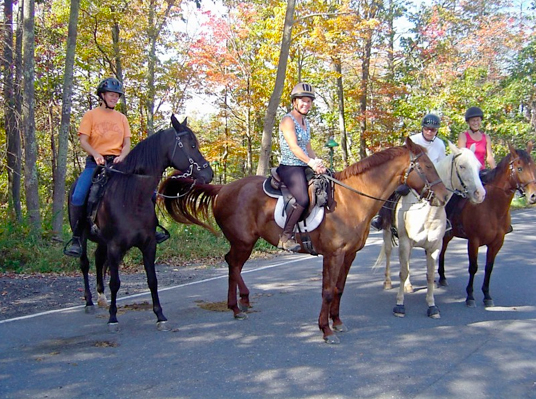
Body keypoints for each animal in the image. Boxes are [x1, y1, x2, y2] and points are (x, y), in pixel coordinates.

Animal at [69, 115, 214, 332]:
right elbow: (115, 283)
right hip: (85, 235)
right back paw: (89, 302)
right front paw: (113, 318)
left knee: (98, 260)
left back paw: (101, 298)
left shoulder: (148, 244)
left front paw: (160, 316)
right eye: (192, 145)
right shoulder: (115, 246)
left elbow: (152, 280)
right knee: (85, 263)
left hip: (102, 242)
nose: (209, 174)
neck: (130, 197)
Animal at [159, 138, 448, 344]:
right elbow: (328, 291)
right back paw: (236, 306)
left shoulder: (349, 254)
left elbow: (339, 289)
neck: (351, 199)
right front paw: (325, 330)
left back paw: (242, 302)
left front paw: (337, 322)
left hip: (244, 242)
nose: (444, 197)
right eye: (426, 167)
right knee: (233, 264)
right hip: (243, 242)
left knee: (233, 264)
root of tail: (223, 189)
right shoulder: (333, 254)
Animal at [372, 142, 486, 320]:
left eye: (478, 166)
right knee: (390, 253)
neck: (427, 211)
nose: (480, 194)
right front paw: (399, 305)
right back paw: (388, 282)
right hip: (387, 232)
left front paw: (432, 306)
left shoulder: (434, 247)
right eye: (462, 166)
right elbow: (403, 272)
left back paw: (408, 286)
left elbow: (430, 275)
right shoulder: (405, 241)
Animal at [438, 142, 536, 308]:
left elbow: (489, 268)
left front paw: (487, 295)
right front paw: (470, 296)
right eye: (520, 168)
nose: (533, 196)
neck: (492, 207)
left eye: (534, 167)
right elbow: (473, 267)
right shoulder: (473, 241)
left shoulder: (497, 242)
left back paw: (442, 277)